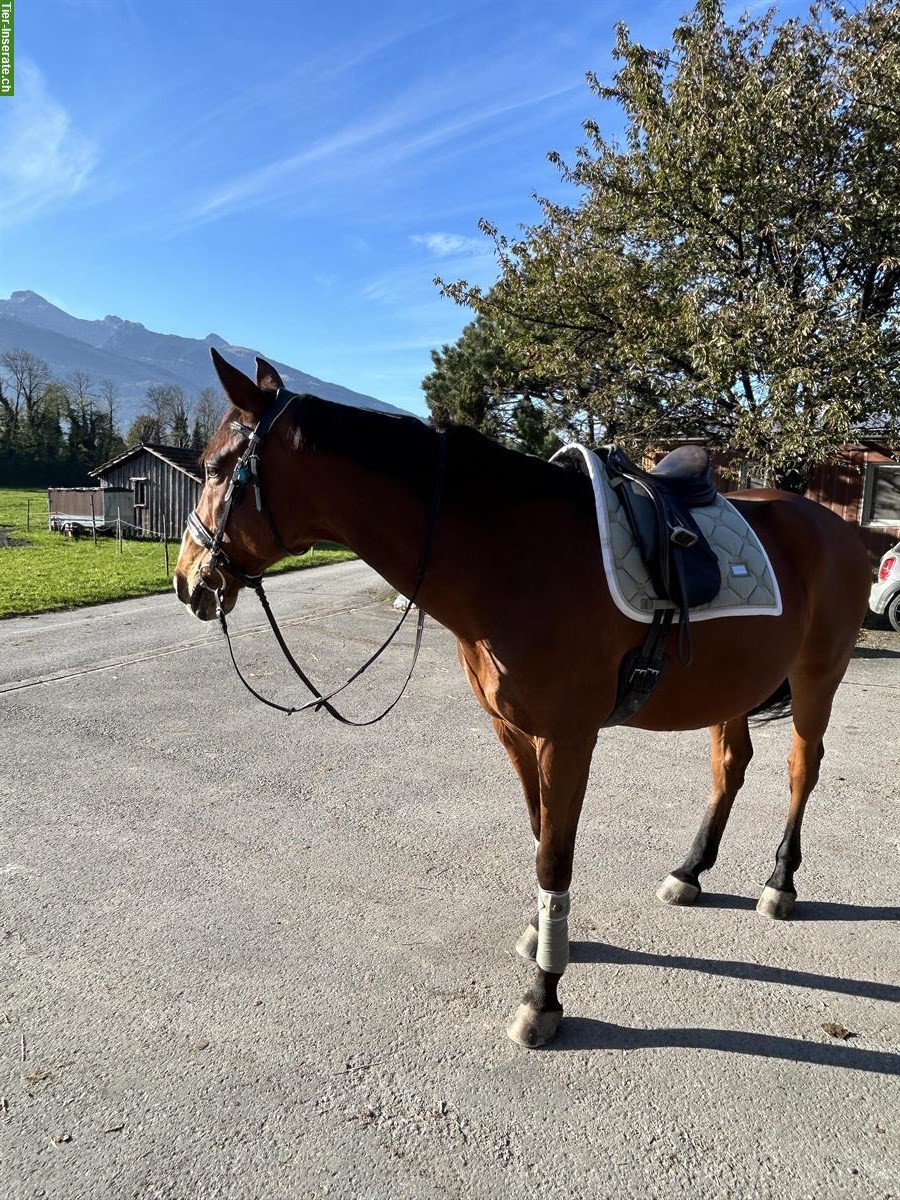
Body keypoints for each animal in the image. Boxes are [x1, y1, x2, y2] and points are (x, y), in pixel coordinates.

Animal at [174, 350, 873, 1051]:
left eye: (215, 468)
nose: (185, 582)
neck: (512, 555)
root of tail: (837, 529)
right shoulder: (513, 731)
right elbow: (541, 836)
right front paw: (543, 939)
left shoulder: (569, 738)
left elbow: (554, 859)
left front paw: (543, 996)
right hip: (734, 687)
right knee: (730, 766)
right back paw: (690, 870)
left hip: (816, 680)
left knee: (801, 769)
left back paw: (780, 881)